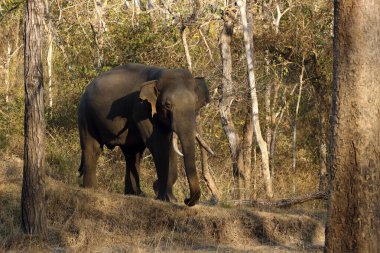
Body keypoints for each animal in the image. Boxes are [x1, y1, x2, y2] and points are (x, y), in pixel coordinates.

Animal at [78, 62, 212, 206]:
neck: (159, 75)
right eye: (167, 105)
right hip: (86, 115)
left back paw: (136, 194)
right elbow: (159, 145)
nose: (186, 200)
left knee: (133, 153)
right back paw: (91, 188)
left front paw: (169, 198)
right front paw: (165, 197)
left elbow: (169, 146)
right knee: (93, 148)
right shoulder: (142, 109)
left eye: (195, 103)